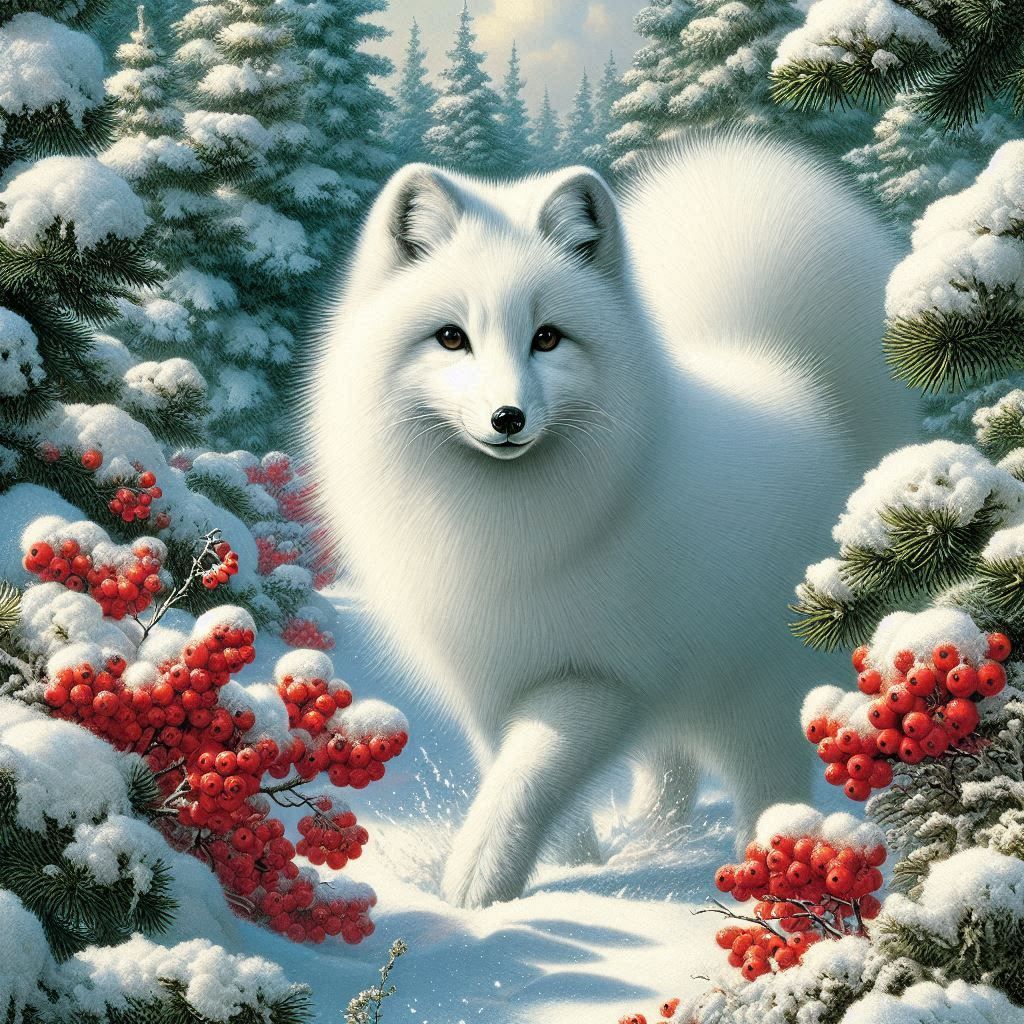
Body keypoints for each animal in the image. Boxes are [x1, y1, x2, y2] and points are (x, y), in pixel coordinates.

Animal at [308, 134, 920, 909]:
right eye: (451, 338)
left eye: (547, 338)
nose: (508, 418)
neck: (503, 526)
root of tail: (797, 383)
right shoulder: (489, 685)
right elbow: (528, 782)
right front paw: (569, 869)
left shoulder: (600, 679)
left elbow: (526, 778)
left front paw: (476, 885)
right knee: (671, 773)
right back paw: (653, 844)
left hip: (752, 698)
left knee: (768, 788)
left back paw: (770, 879)